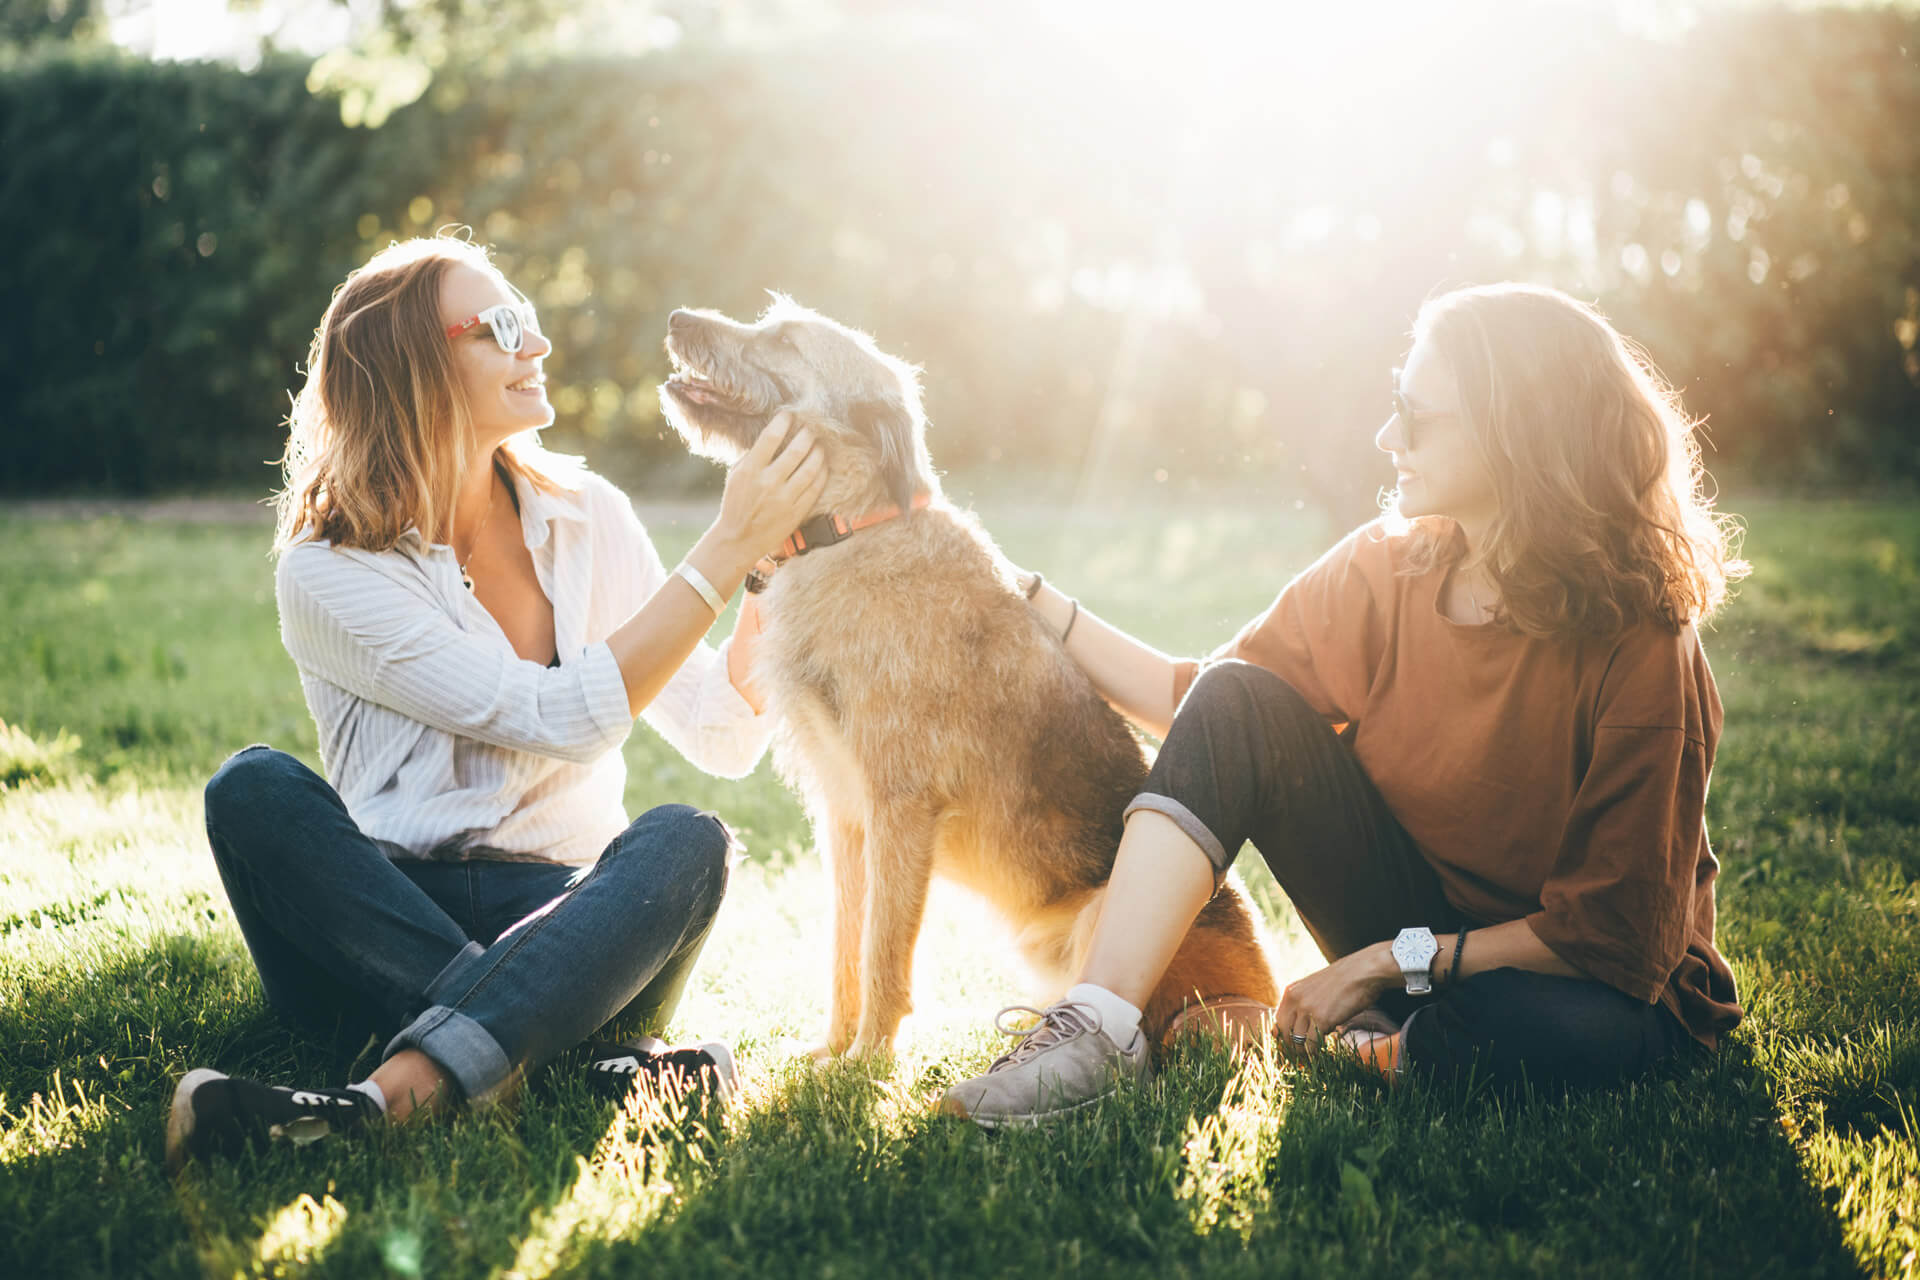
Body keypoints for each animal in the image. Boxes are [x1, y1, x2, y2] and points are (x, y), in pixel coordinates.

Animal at [660, 295, 1274, 1059]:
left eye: (784, 340)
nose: (677, 317)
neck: (853, 530)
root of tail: (1273, 997)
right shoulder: (846, 814)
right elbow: (846, 944)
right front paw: (832, 1053)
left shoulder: (900, 804)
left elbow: (883, 949)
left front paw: (866, 1062)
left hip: (1108, 919)